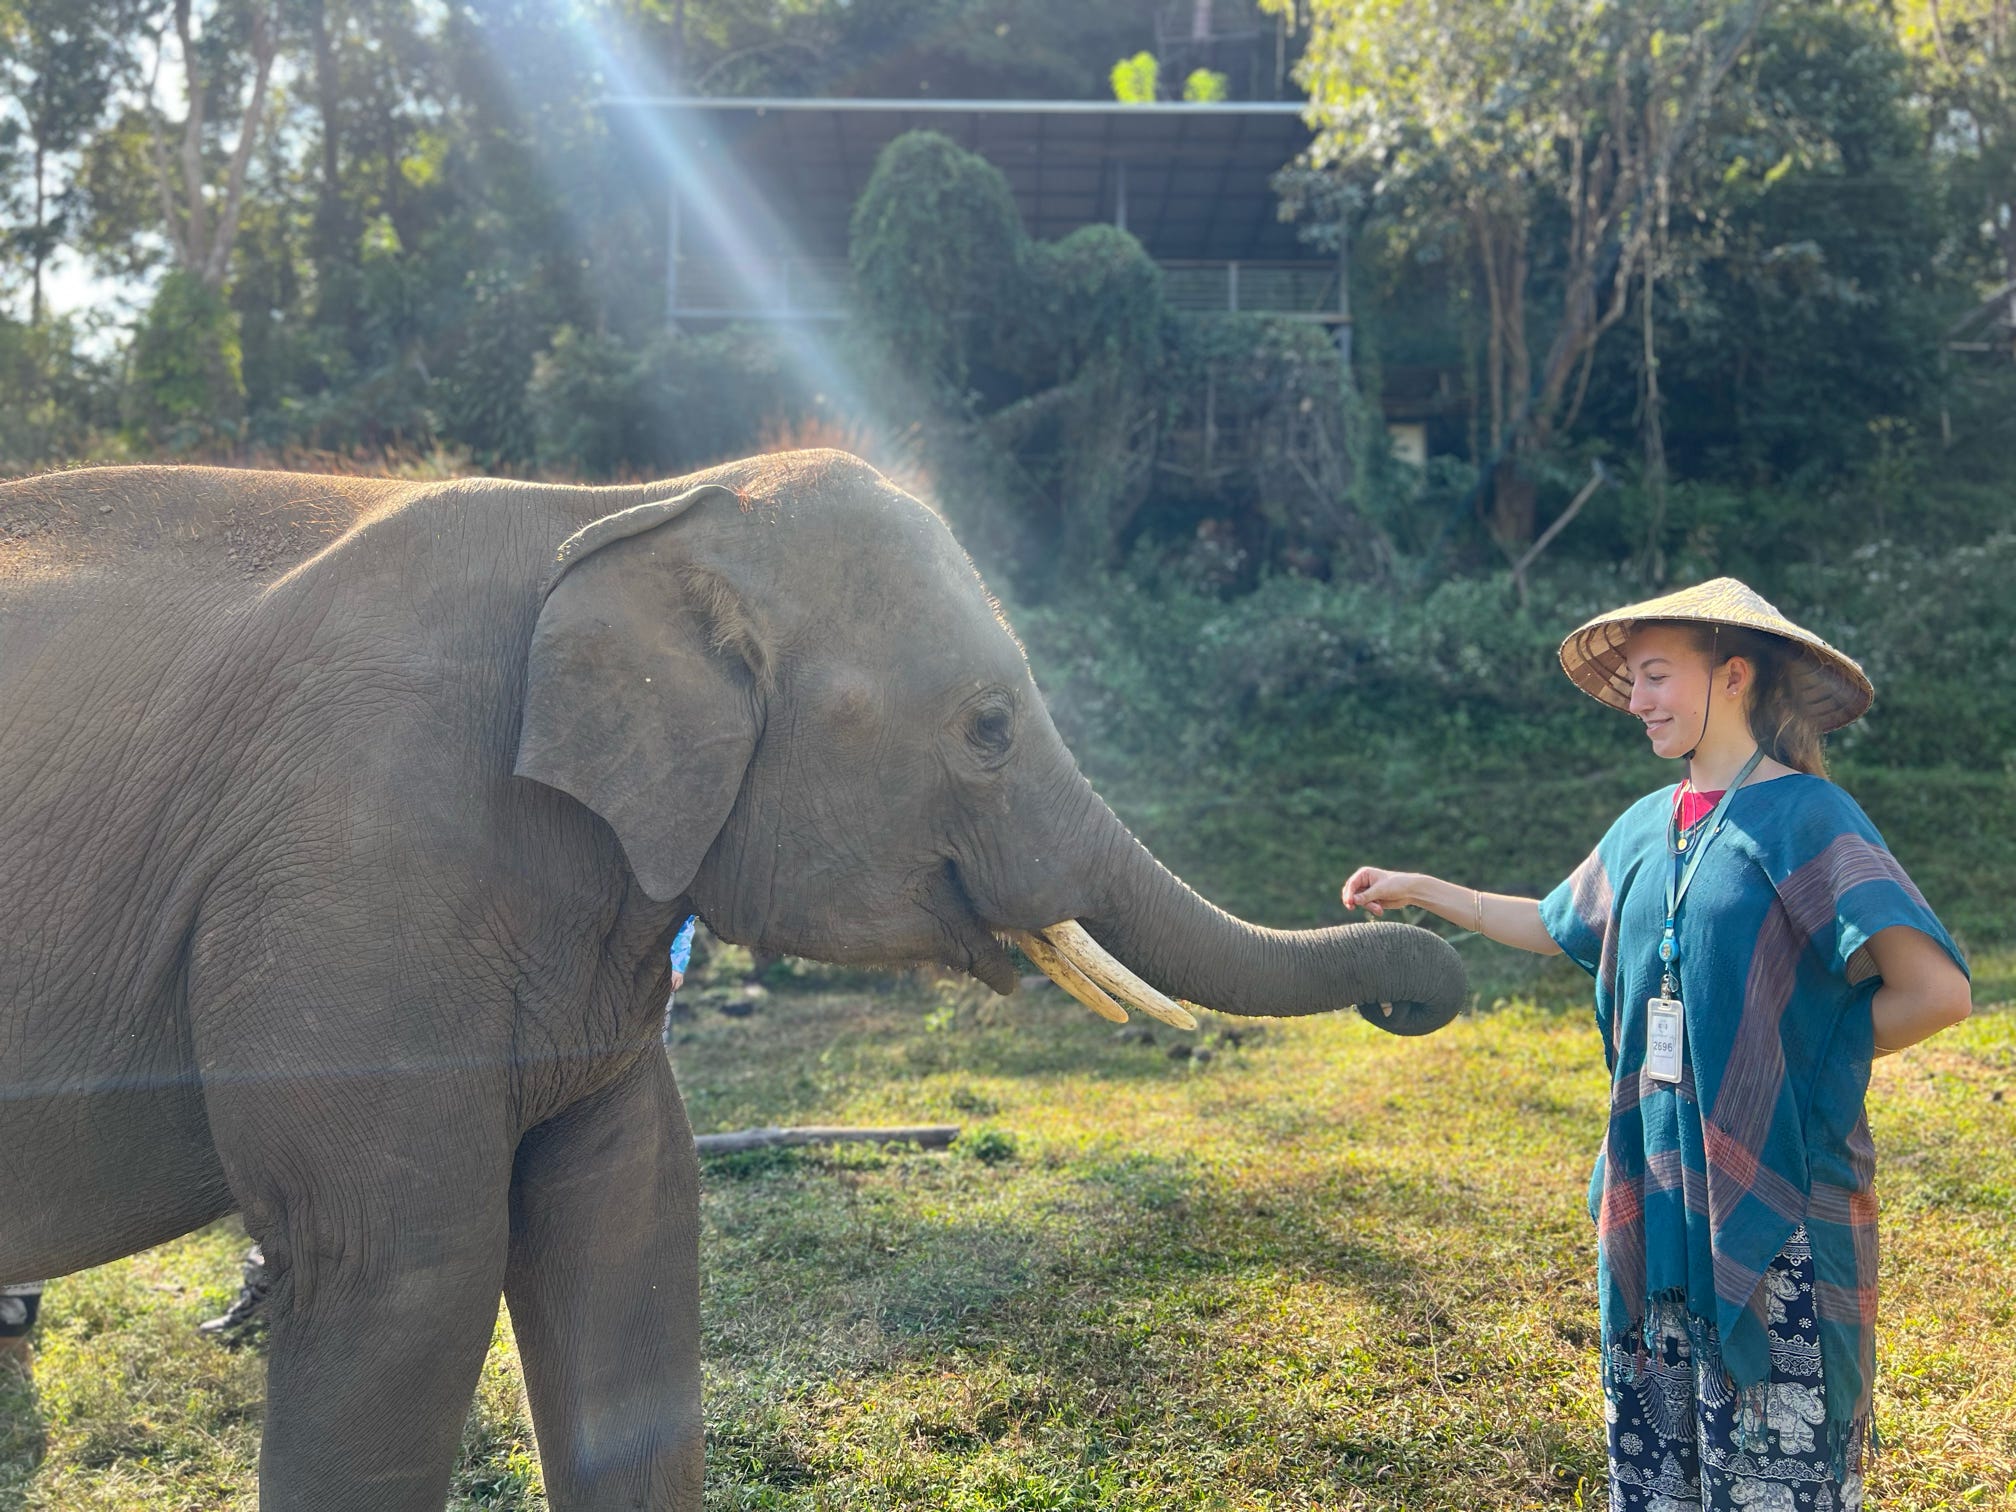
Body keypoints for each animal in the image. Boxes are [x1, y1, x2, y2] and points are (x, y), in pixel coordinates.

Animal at [0, 450, 1465, 1509]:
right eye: (991, 728)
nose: (1407, 960)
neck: (629, 510)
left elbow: (631, 1212)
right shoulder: (355, 873)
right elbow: (400, 1263)